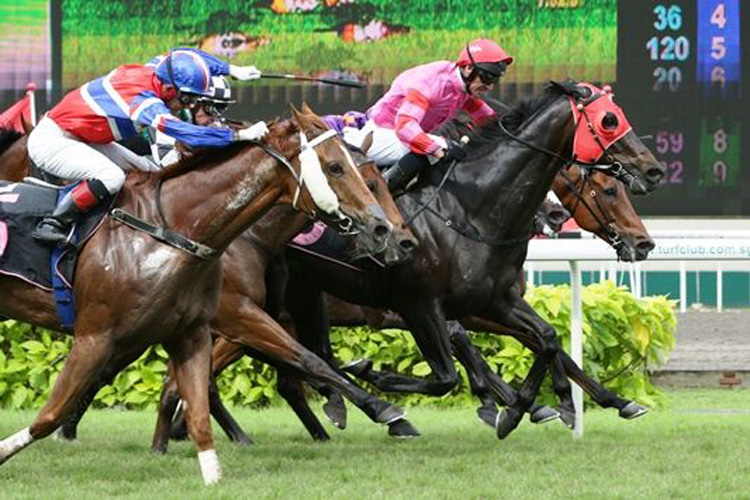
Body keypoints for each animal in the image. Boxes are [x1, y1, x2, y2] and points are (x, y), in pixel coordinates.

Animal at [0, 106, 400, 484]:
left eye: (374, 178)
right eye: (335, 167)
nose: (385, 229)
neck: (171, 230)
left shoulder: (187, 332)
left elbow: (205, 407)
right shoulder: (100, 336)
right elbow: (50, 414)